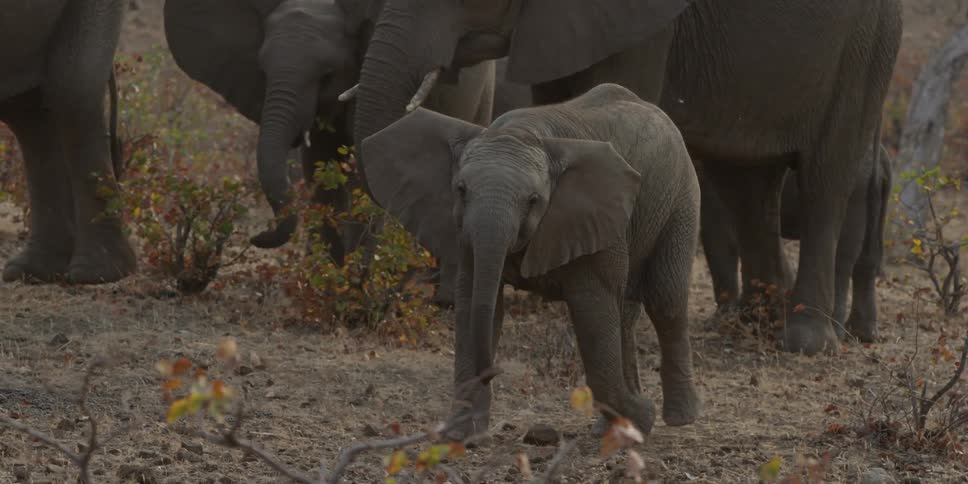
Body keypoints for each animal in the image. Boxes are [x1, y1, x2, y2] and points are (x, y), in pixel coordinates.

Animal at [360, 83, 701, 439]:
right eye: (461, 189)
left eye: (533, 201)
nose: (494, 370)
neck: (524, 132)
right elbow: (475, 304)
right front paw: (461, 437)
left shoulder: (591, 217)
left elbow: (592, 310)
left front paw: (644, 416)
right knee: (625, 313)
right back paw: (611, 429)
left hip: (680, 198)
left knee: (665, 301)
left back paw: (678, 418)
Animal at [700, 145, 893, 343]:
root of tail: (883, 162)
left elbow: (717, 231)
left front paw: (716, 323)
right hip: (874, 197)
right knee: (867, 257)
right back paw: (863, 335)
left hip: (855, 193)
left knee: (842, 256)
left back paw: (839, 332)